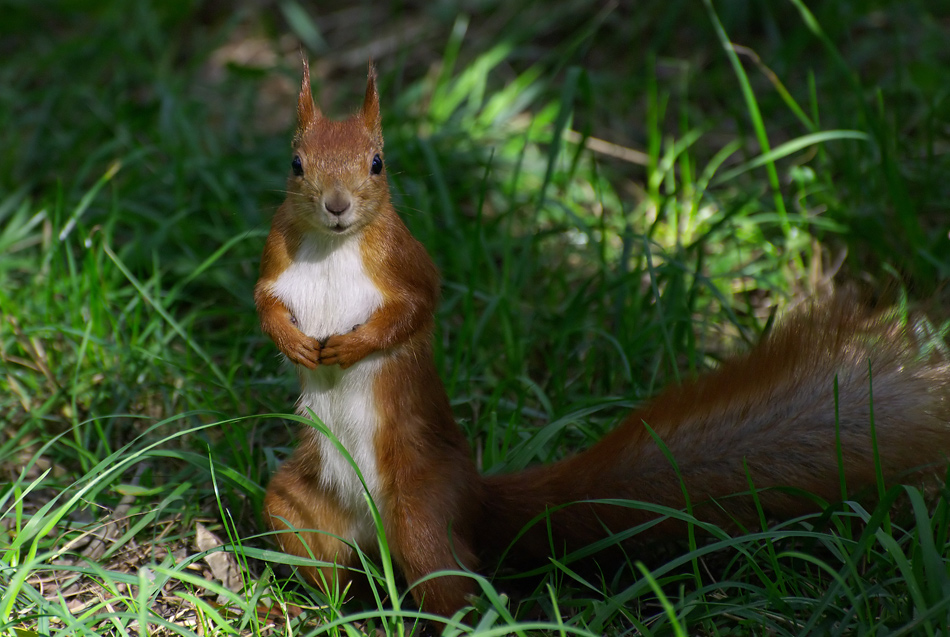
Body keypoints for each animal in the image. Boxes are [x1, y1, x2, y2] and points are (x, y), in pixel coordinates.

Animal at [256, 59, 950, 616]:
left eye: (378, 162)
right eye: (295, 163)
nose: (338, 206)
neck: (335, 248)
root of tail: (473, 496)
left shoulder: (407, 264)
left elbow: (415, 310)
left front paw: (350, 346)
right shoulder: (275, 257)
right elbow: (265, 303)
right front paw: (295, 344)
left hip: (421, 513)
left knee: (450, 584)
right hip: (298, 502)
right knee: (325, 561)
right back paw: (323, 607)